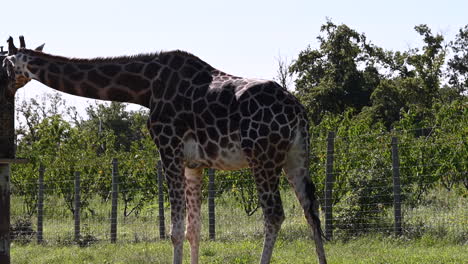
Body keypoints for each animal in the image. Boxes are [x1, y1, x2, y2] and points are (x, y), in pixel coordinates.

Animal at [2, 36, 326, 262]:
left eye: (4, 62)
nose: (4, 86)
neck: (146, 88)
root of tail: (298, 112)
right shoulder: (194, 164)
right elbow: (194, 230)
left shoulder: (168, 149)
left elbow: (175, 230)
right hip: (296, 157)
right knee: (311, 211)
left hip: (263, 157)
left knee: (274, 214)